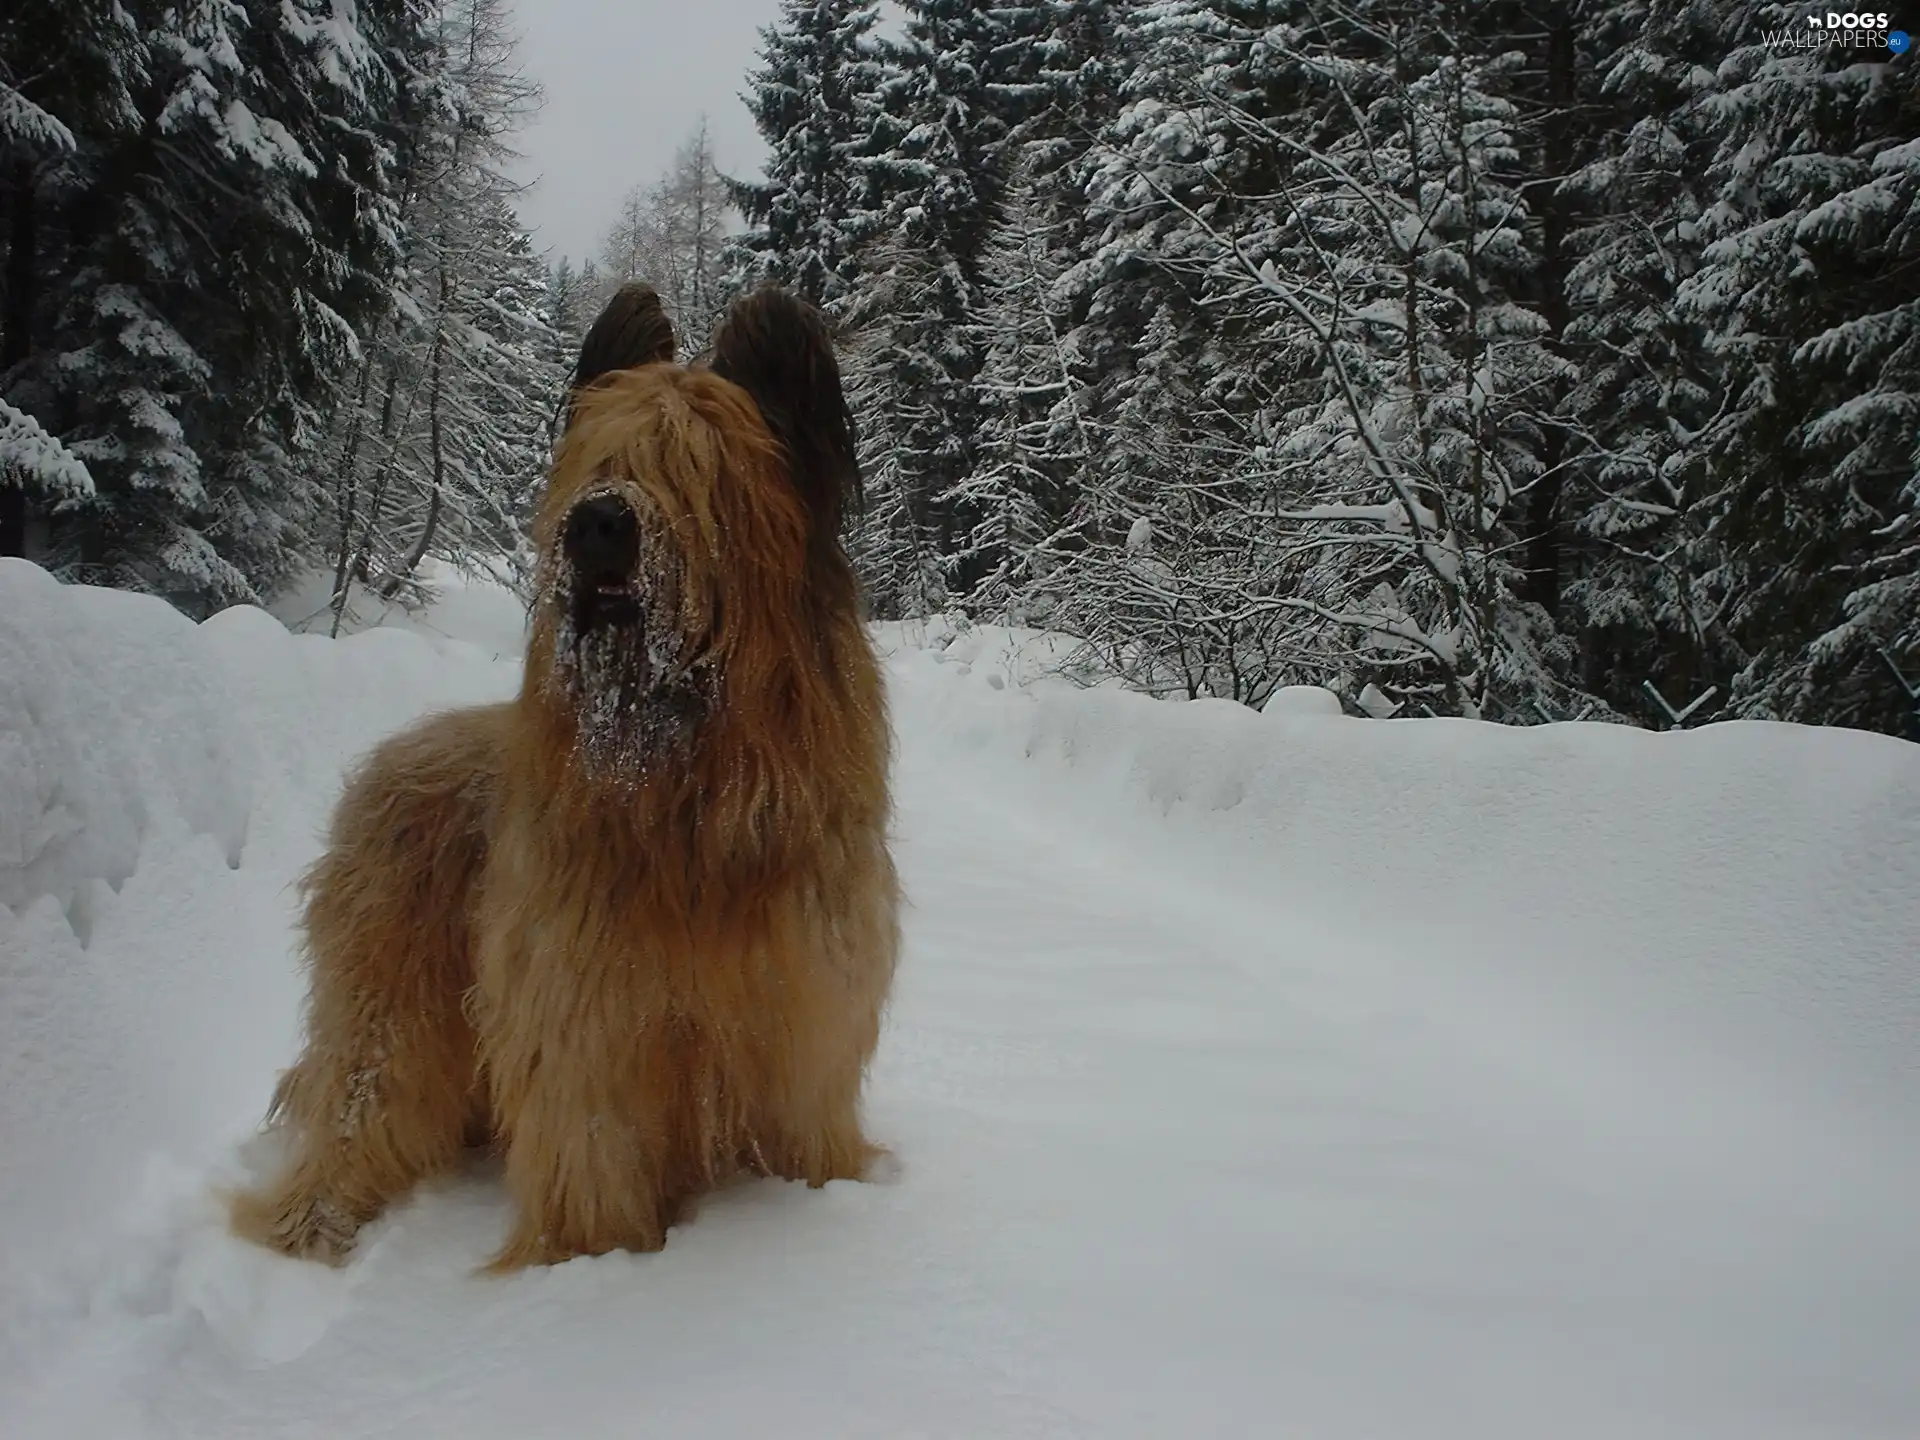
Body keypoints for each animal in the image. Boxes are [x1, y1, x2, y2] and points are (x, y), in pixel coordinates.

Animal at [232, 282, 898, 1274]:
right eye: (600, 459)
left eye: (693, 467)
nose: (598, 524)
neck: (685, 797)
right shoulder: (587, 1028)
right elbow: (593, 1158)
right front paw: (592, 1269)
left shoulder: (802, 1031)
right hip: (392, 990)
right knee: (364, 1096)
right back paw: (315, 1220)